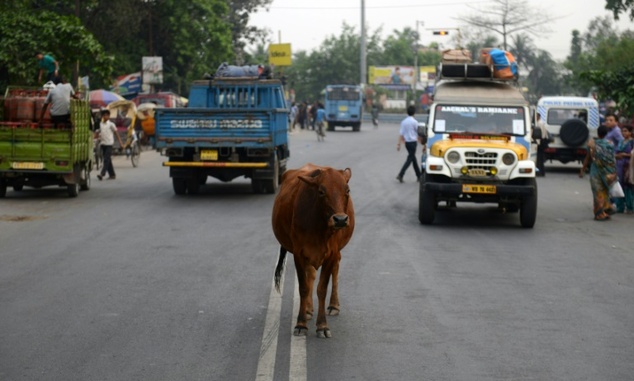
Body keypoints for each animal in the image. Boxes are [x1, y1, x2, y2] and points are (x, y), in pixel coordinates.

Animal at [270, 162, 354, 336]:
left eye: (347, 190)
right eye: (321, 191)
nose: (340, 220)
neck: (319, 226)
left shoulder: (331, 254)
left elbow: (322, 289)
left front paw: (322, 326)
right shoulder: (299, 254)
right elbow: (303, 287)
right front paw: (301, 323)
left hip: (336, 253)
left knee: (335, 269)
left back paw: (333, 305)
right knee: (311, 276)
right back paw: (308, 309)